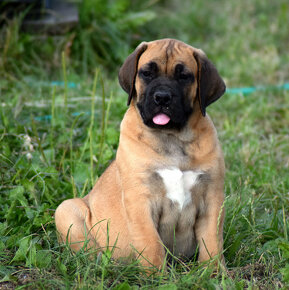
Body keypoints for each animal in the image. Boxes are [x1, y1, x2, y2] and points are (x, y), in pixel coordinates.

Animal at [54, 38, 225, 270]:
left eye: (184, 76)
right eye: (146, 73)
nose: (162, 97)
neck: (172, 137)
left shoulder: (212, 199)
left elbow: (212, 242)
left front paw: (214, 272)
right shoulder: (140, 201)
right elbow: (150, 243)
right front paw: (156, 275)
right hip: (66, 209)